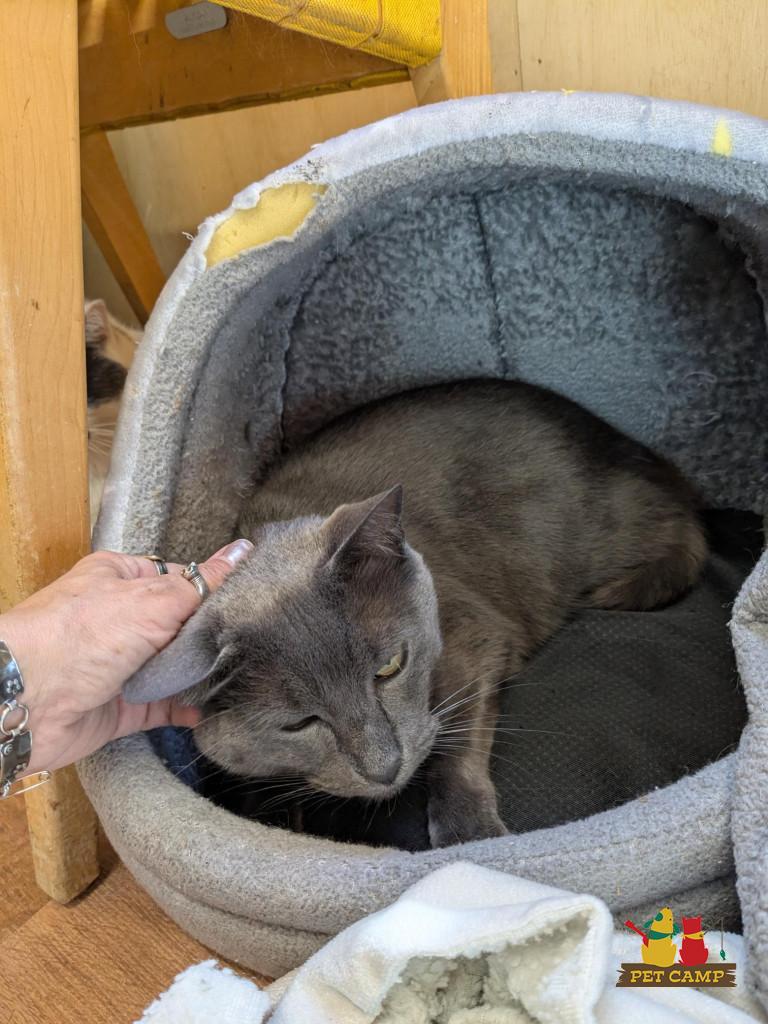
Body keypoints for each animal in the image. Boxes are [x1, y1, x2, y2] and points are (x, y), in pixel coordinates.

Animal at [127, 380, 707, 847]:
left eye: (390, 668)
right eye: (298, 724)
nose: (386, 767)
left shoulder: (475, 634)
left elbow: (459, 733)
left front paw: (469, 832)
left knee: (687, 533)